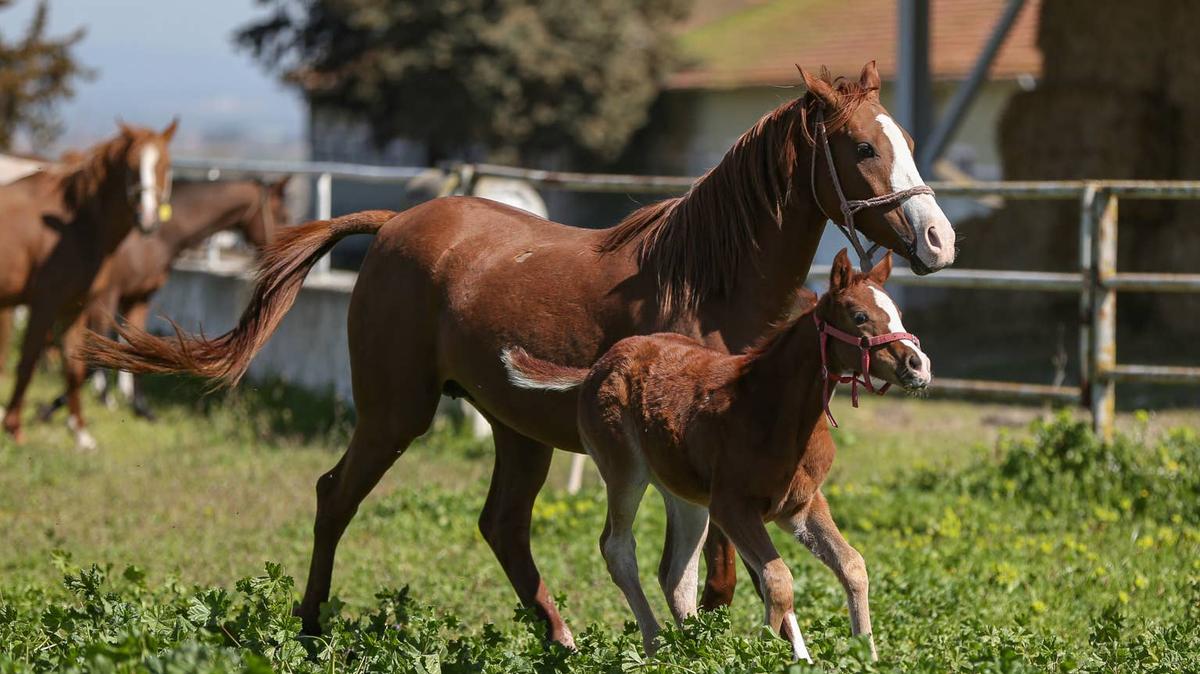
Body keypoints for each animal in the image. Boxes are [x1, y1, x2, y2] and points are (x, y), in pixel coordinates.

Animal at [0, 120, 177, 448]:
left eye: (165, 165)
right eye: (131, 166)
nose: (147, 219)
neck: (80, 224)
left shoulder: (74, 308)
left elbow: (73, 367)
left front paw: (80, 432)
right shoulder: (44, 305)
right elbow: (27, 362)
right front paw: (14, 428)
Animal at [26, 177, 291, 422]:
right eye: (282, 214)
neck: (157, 236)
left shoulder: (139, 298)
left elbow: (135, 348)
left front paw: (141, 407)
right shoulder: (106, 297)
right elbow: (97, 355)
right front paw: (52, 408)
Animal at [502, 249, 928, 661]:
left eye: (897, 311)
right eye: (860, 316)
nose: (918, 365)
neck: (774, 410)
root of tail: (597, 366)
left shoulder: (801, 505)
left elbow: (852, 565)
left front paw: (866, 654)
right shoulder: (732, 507)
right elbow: (777, 579)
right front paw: (761, 654)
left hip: (686, 496)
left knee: (676, 572)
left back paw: (697, 650)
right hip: (624, 470)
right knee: (618, 548)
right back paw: (656, 646)